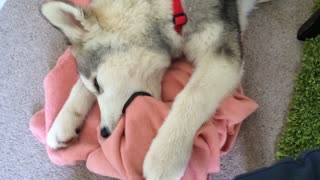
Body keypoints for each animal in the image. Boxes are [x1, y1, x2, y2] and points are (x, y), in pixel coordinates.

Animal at [42, 0, 262, 179]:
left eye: (97, 83)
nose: (104, 133)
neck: (171, 10)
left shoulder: (222, 56)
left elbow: (192, 95)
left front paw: (166, 156)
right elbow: (78, 86)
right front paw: (63, 122)